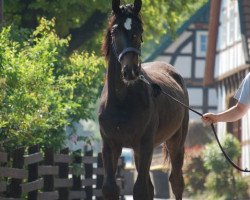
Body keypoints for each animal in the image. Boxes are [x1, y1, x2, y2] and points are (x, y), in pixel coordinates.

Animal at [98, 0, 188, 199]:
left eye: (139, 30)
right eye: (115, 31)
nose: (130, 70)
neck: (121, 101)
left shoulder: (145, 144)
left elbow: (139, 189)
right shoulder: (110, 145)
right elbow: (110, 187)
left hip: (175, 142)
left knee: (176, 181)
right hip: (138, 151)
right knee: (151, 186)